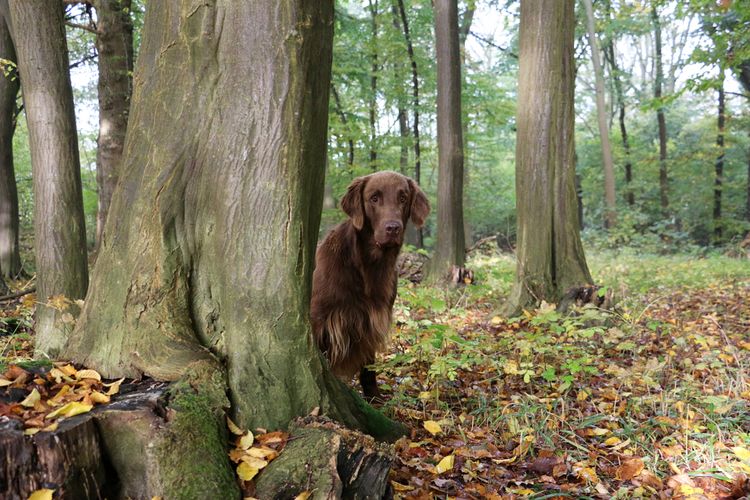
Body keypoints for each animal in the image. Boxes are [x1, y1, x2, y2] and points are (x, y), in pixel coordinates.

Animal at [310, 172, 428, 398]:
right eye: (374, 198)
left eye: (403, 198)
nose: (393, 228)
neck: (369, 266)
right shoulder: (321, 320)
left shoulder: (372, 319)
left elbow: (368, 365)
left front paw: (374, 396)